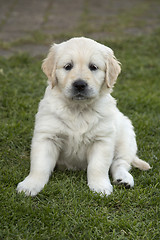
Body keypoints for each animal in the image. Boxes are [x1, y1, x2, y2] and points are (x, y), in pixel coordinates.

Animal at [16, 37, 151, 195]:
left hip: (126, 136)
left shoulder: (102, 140)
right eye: (68, 66)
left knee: (120, 163)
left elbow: (98, 166)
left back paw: (124, 179)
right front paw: (30, 184)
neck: (78, 109)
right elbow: (39, 165)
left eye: (93, 67)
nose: (80, 84)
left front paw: (100, 186)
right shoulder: (47, 136)